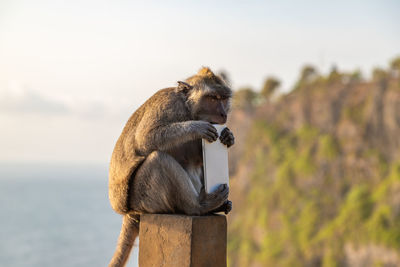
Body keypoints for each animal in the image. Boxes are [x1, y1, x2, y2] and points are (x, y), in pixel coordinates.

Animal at [108, 67, 236, 267]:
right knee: (158, 160)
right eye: (213, 98)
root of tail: (129, 212)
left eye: (223, 98)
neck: (187, 109)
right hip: (143, 199)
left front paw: (228, 137)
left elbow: (196, 157)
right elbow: (145, 138)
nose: (224, 114)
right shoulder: (168, 105)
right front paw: (196, 127)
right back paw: (199, 206)